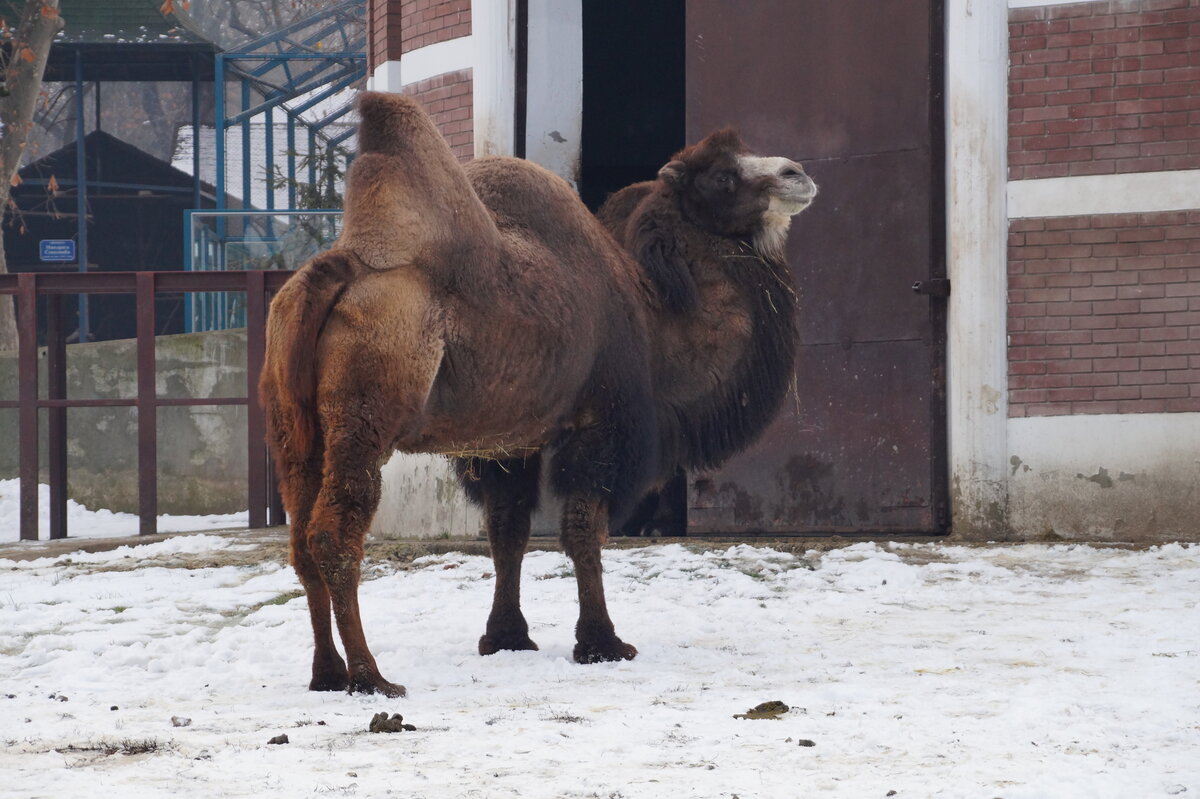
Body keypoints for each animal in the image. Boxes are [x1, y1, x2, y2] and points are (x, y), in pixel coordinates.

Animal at [260, 92, 815, 696]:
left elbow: (508, 530)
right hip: (366, 415)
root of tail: (330, 271)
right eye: (722, 176)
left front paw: (506, 637)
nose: (798, 172)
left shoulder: (506, 444)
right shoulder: (603, 422)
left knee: (300, 539)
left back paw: (326, 673)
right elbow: (582, 529)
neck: (654, 318)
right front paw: (602, 644)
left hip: (294, 428)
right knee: (333, 534)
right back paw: (371, 677)